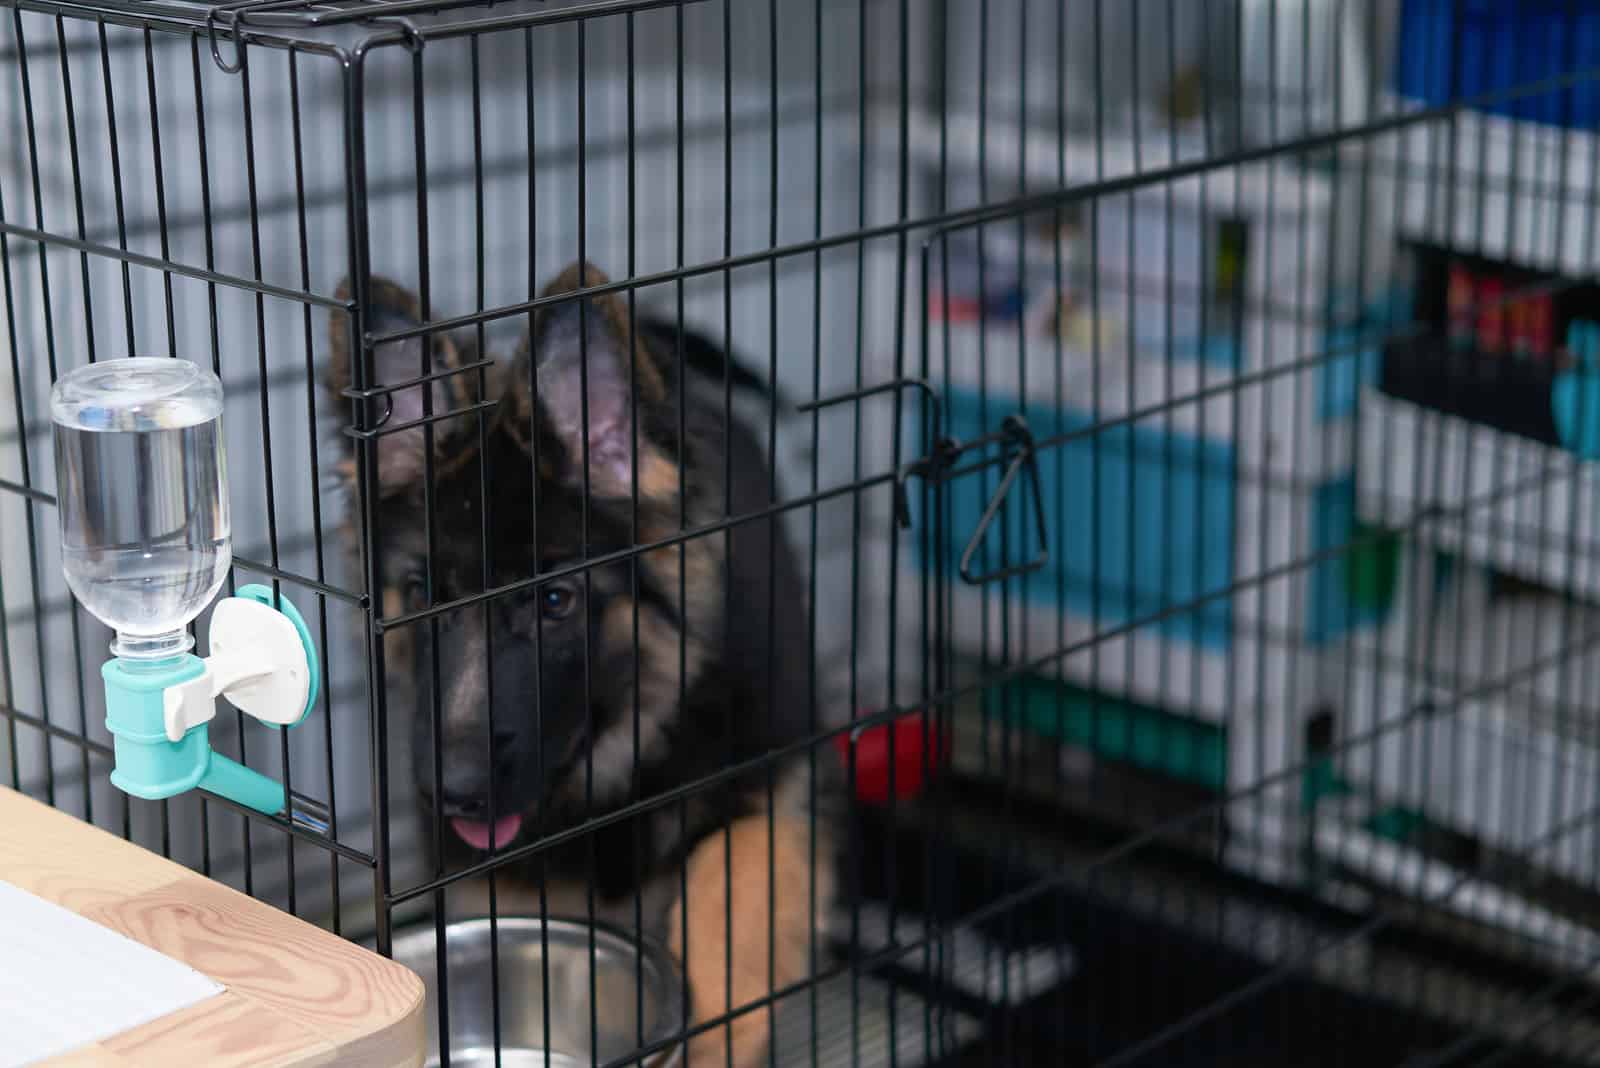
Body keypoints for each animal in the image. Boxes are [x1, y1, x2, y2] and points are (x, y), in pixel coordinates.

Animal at [318, 260, 832, 1068]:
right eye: (423, 594)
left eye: (555, 600)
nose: (452, 793)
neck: (626, 752)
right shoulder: (502, 874)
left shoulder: (774, 776)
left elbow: (733, 892)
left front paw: (717, 1030)